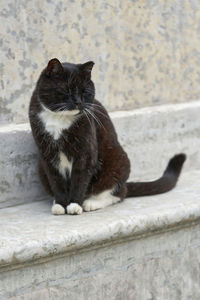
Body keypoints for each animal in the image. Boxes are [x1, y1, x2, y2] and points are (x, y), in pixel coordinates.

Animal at [28, 57, 187, 214]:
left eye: (85, 91)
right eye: (66, 90)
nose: (79, 102)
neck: (59, 120)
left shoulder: (86, 153)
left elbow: (79, 179)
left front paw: (74, 205)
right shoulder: (47, 155)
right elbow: (56, 180)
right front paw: (61, 204)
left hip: (118, 161)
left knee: (118, 193)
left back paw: (91, 203)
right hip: (40, 167)